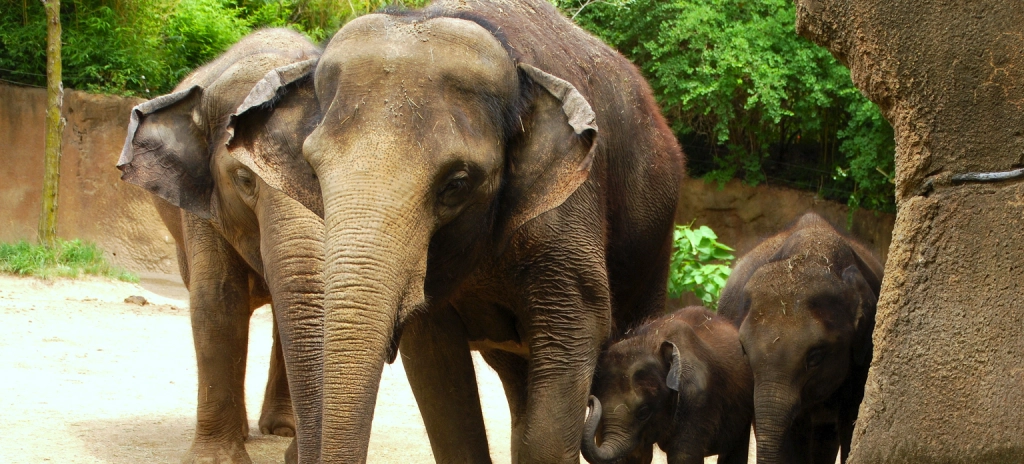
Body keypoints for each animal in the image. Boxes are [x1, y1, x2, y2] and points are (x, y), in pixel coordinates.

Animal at [117, 29, 325, 464]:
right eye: (244, 180)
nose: (296, 456)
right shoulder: (200, 199)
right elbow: (217, 300)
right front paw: (215, 459)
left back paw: (280, 428)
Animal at [226, 0, 685, 461]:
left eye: (457, 184)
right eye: (314, 171)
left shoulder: (570, 215)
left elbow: (576, 335)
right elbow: (437, 372)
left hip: (655, 235)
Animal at [582, 306, 754, 464]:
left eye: (643, 412)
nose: (590, 400)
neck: (654, 340)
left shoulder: (698, 399)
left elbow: (683, 456)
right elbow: (638, 457)